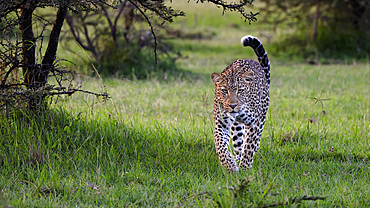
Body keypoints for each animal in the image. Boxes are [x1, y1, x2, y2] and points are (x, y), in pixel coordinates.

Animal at [211, 35, 268, 172]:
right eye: (224, 91)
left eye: (240, 90)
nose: (233, 106)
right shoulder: (221, 124)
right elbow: (220, 146)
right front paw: (230, 166)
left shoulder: (254, 124)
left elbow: (249, 148)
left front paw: (245, 169)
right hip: (236, 128)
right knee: (238, 145)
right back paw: (236, 159)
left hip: (262, 115)